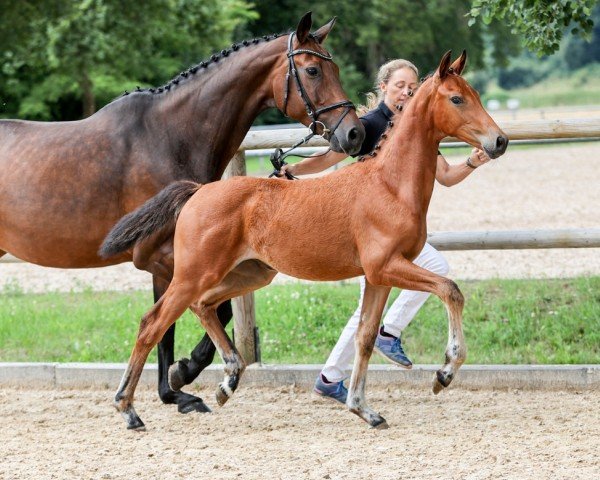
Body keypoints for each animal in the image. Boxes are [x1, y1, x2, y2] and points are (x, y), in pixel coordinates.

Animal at [102, 50, 506, 430]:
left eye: (475, 94)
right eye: (456, 98)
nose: (499, 141)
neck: (389, 185)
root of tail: (199, 191)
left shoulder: (377, 277)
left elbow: (365, 337)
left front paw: (364, 410)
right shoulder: (386, 266)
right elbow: (450, 289)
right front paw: (445, 372)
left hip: (252, 273)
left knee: (203, 305)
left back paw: (227, 381)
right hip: (194, 273)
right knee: (152, 324)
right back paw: (129, 409)